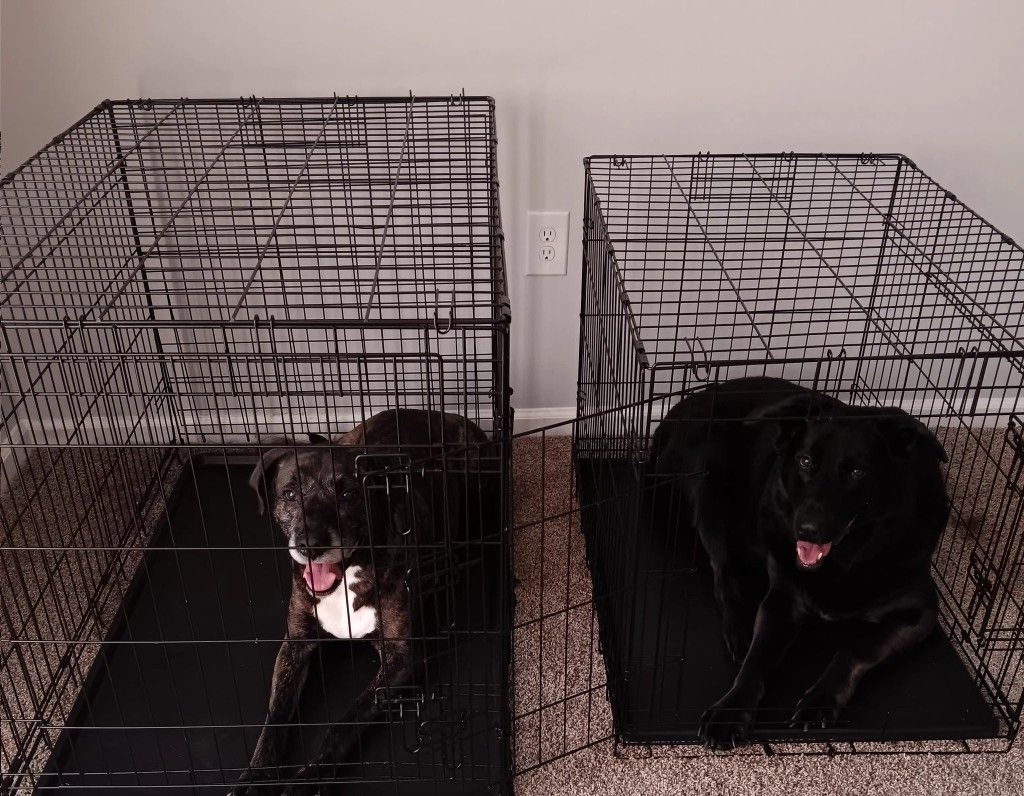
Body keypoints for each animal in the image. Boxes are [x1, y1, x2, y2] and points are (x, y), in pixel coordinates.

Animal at [231, 408, 490, 794]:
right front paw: (256, 774)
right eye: (289, 494)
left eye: (349, 494)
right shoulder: (294, 646)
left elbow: (345, 722)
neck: (347, 576)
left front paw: (310, 777)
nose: (309, 543)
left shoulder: (401, 659)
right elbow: (275, 717)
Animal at [650, 377, 949, 749]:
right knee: (724, 574)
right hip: (709, 484)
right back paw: (738, 627)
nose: (806, 529)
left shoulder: (919, 613)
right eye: (805, 461)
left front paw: (821, 699)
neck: (844, 562)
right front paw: (732, 709)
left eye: (857, 471)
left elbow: (854, 648)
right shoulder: (781, 599)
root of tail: (674, 411)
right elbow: (757, 660)